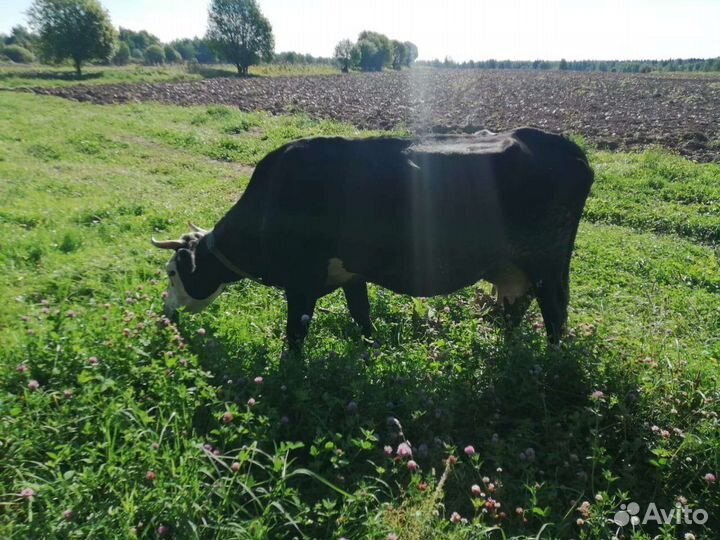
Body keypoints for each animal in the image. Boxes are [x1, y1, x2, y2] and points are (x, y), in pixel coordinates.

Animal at [152, 127, 594, 350]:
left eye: (173, 272)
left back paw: (550, 364)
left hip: (549, 264)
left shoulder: (301, 282)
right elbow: (361, 315)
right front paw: (373, 349)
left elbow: (294, 337)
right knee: (516, 311)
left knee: (556, 315)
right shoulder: (352, 274)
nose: (166, 314)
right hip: (515, 269)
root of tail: (572, 150)